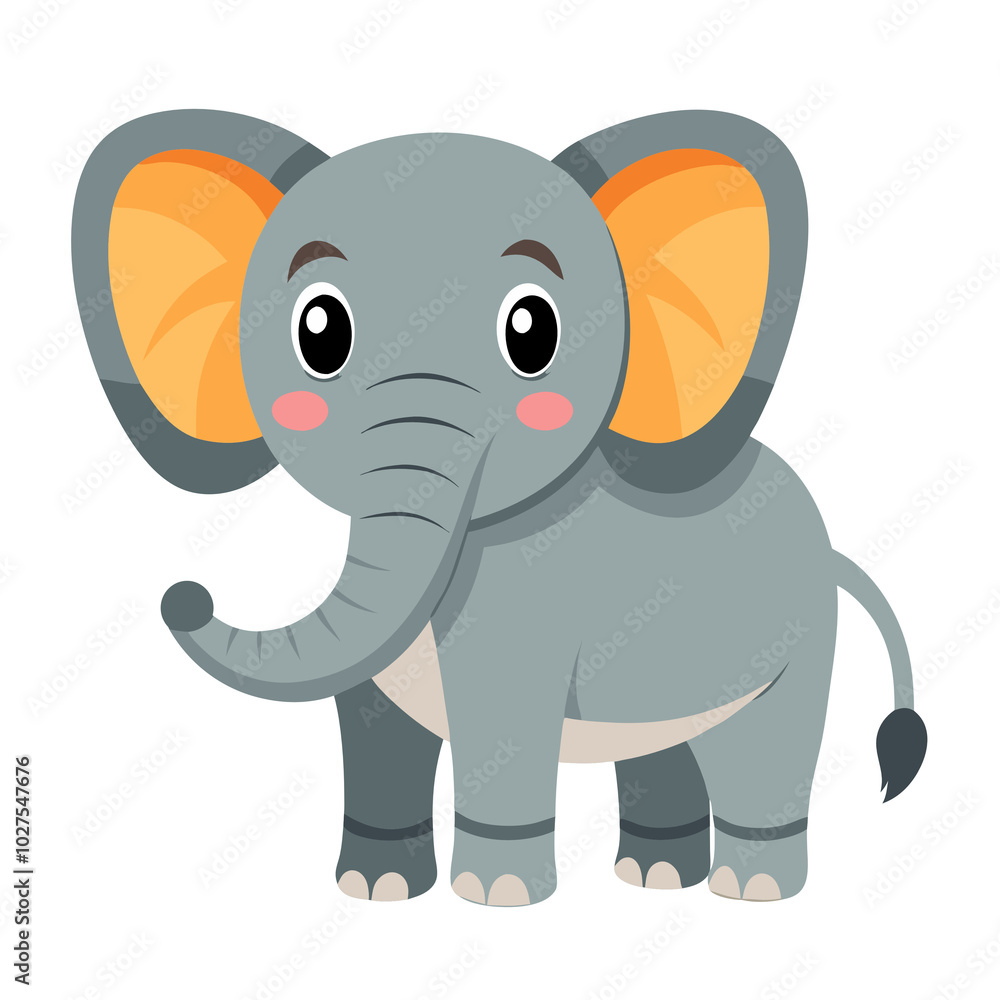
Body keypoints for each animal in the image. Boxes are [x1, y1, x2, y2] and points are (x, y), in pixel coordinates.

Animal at [72, 108, 927, 906]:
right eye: (319, 332)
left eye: (532, 331)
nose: (185, 595)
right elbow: (371, 722)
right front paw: (376, 889)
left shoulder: (522, 608)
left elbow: (501, 716)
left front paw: (497, 896)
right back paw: (652, 877)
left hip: (796, 642)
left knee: (763, 749)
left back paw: (751, 891)